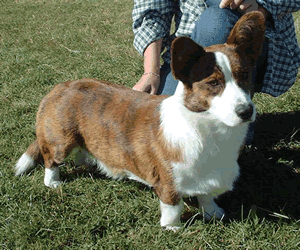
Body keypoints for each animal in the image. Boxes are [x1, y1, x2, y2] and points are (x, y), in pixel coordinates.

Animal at [15, 12, 266, 230]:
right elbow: (173, 207)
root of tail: (59, 88)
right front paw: (173, 228)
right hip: (61, 141)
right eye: (213, 83)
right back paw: (53, 182)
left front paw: (214, 213)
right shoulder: (168, 183)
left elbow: (206, 197)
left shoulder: (208, 179)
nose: (246, 112)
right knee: (51, 160)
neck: (209, 128)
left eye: (244, 75)